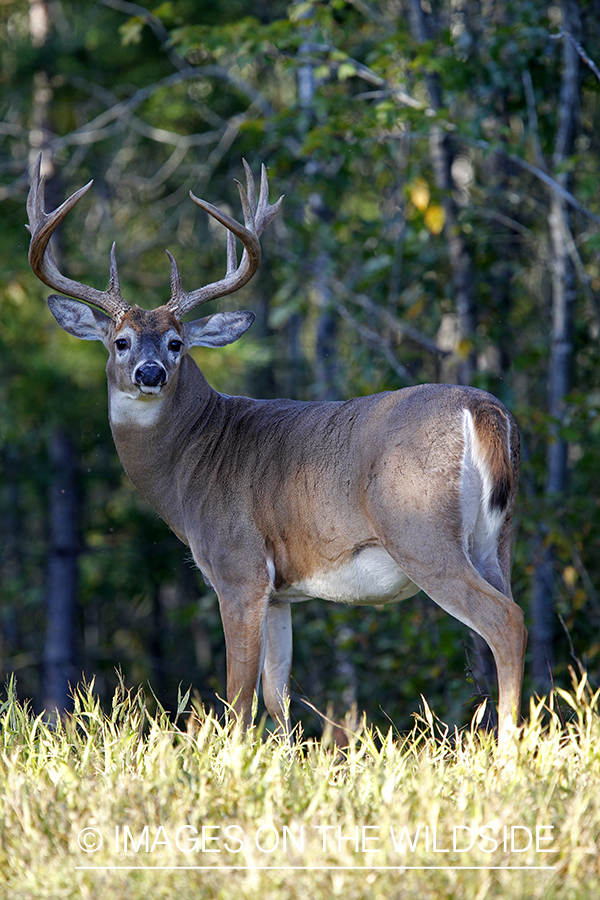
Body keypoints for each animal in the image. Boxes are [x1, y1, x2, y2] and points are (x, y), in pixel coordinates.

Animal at [27, 156, 524, 744]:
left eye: (176, 343)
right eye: (120, 341)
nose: (150, 373)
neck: (191, 461)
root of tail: (484, 410)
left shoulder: (238, 567)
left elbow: (238, 698)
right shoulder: (281, 592)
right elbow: (276, 695)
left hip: (421, 530)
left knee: (506, 622)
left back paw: (510, 748)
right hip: (497, 539)